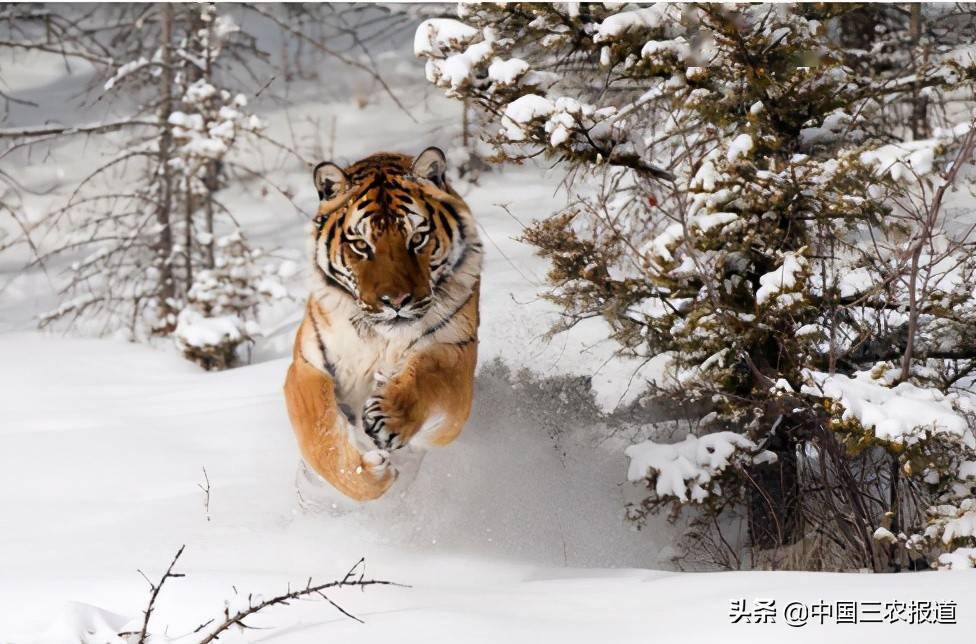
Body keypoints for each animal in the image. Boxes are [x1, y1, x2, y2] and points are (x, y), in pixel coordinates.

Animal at [283, 147, 482, 502]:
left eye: (417, 238)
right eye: (361, 245)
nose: (396, 301)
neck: (380, 337)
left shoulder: (457, 351)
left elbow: (430, 375)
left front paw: (389, 416)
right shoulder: (307, 364)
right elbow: (319, 434)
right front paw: (370, 473)